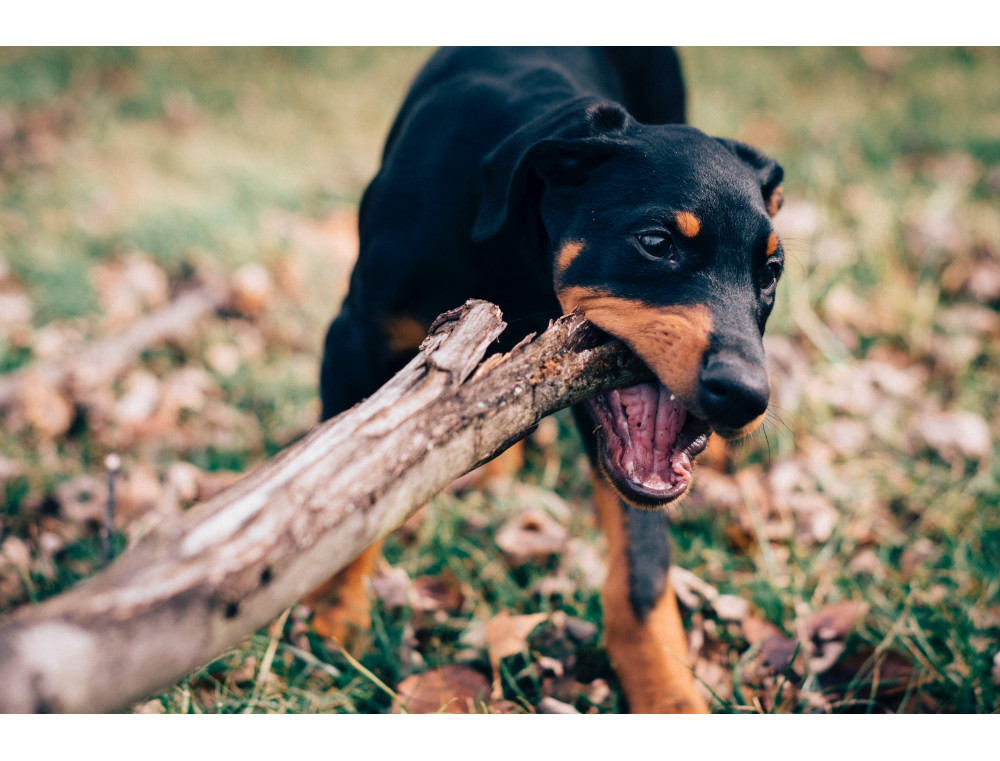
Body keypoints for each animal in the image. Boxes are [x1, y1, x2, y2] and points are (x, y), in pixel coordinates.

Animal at [308, 47, 784, 712]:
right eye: (655, 242)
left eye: (772, 271)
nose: (745, 396)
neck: (514, 252)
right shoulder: (351, 343)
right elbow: (348, 495)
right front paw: (334, 615)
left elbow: (641, 571)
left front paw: (669, 696)